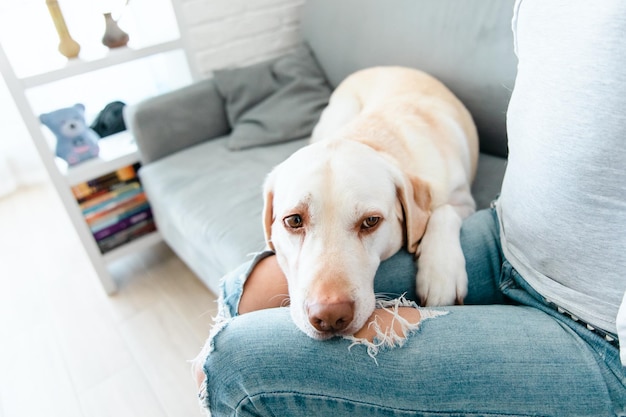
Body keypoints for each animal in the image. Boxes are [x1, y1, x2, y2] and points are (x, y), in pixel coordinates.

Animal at [260, 66, 476, 338]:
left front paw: (441, 272)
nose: (329, 316)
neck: (370, 138)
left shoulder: (463, 199)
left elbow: (444, 211)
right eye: (294, 220)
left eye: (371, 221)